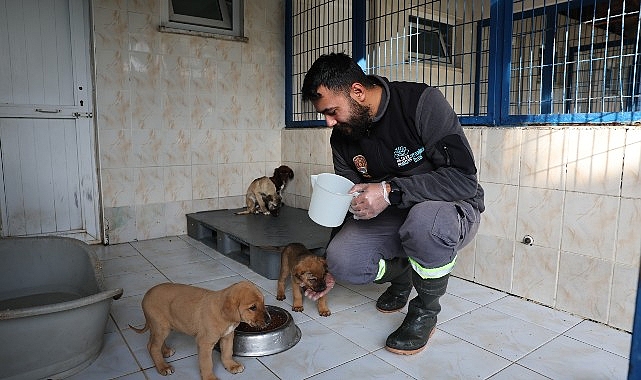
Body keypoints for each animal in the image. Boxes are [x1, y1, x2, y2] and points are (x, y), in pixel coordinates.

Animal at [129, 280, 268, 380]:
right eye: (253, 307)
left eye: (263, 302)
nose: (269, 319)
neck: (223, 314)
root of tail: (146, 295)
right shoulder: (204, 343)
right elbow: (207, 363)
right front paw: (210, 378)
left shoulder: (227, 336)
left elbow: (227, 353)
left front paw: (231, 366)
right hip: (161, 326)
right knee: (152, 347)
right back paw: (163, 367)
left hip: (161, 326)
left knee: (151, 342)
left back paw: (165, 351)